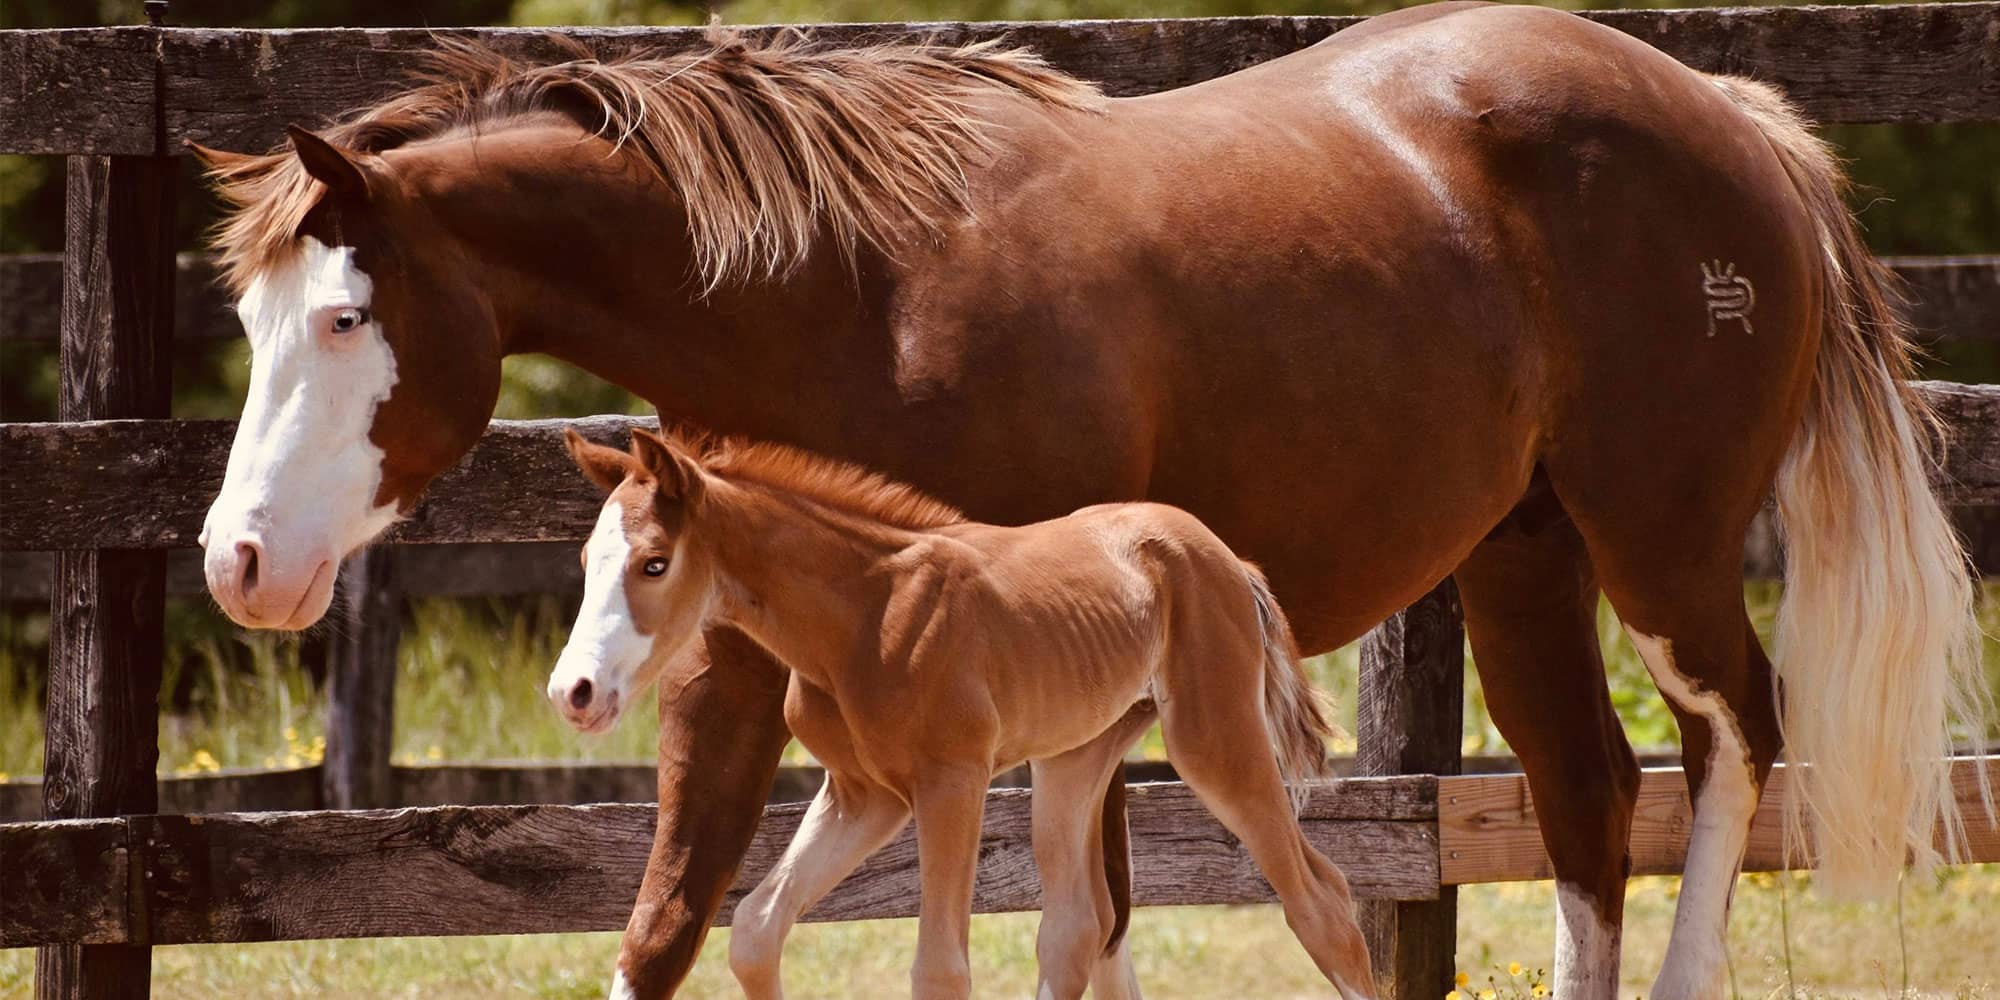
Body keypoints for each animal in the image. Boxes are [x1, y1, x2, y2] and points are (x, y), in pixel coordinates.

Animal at [548, 426, 1371, 999]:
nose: (572, 692)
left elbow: (939, 969)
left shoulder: (952, 782)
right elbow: (754, 929)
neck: (864, 614)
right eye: (585, 562)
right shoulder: (863, 796)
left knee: (1322, 901)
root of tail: (1226, 557)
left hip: (1213, 738)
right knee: (1075, 928)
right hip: (1076, 754)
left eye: (655, 563)